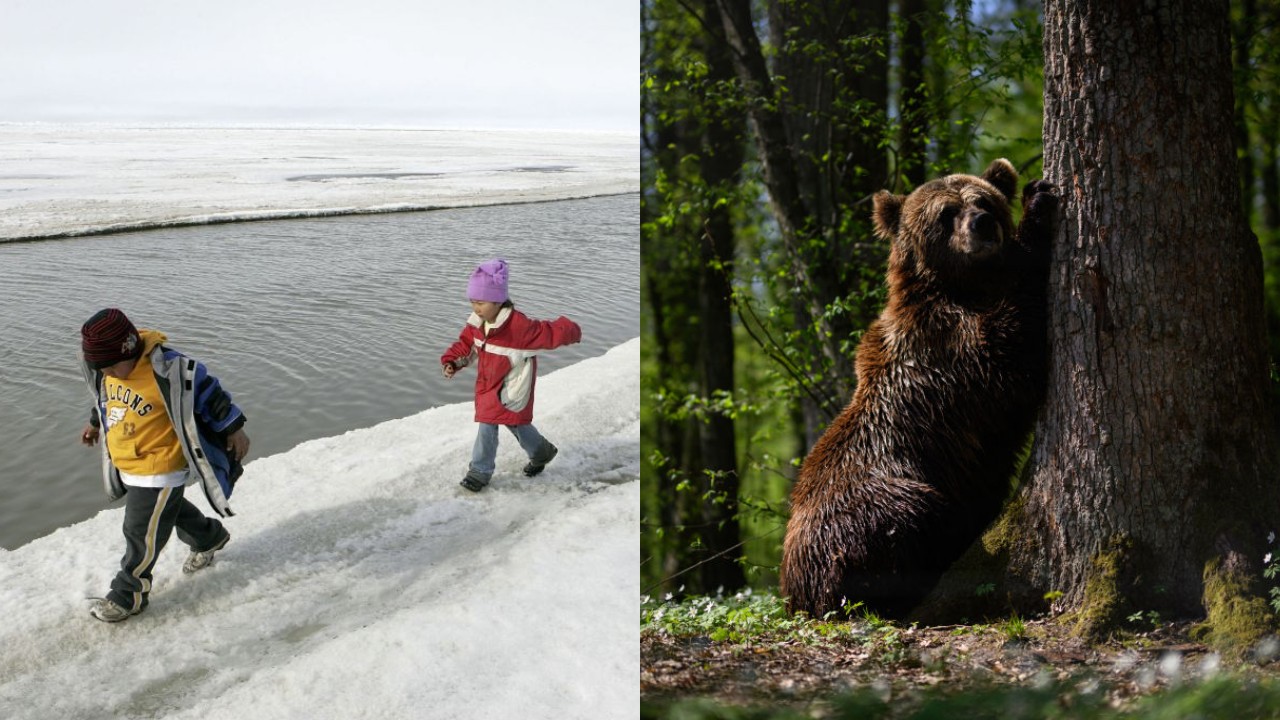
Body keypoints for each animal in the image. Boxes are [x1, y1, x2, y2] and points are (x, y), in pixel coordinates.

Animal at [779, 159, 1058, 619]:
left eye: (984, 201)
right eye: (946, 213)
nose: (982, 224)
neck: (961, 288)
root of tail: (796, 589)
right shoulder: (945, 350)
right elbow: (1010, 350)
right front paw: (1037, 207)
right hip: (874, 504)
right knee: (913, 521)